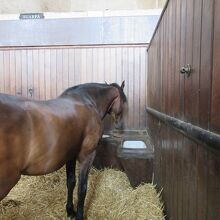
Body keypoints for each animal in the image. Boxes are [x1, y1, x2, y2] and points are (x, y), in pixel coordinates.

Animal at [0, 81, 127, 219]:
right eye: (124, 102)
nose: (120, 128)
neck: (87, 101)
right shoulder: (87, 156)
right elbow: (82, 188)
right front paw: (79, 216)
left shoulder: (70, 155)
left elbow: (71, 182)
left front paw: (70, 210)